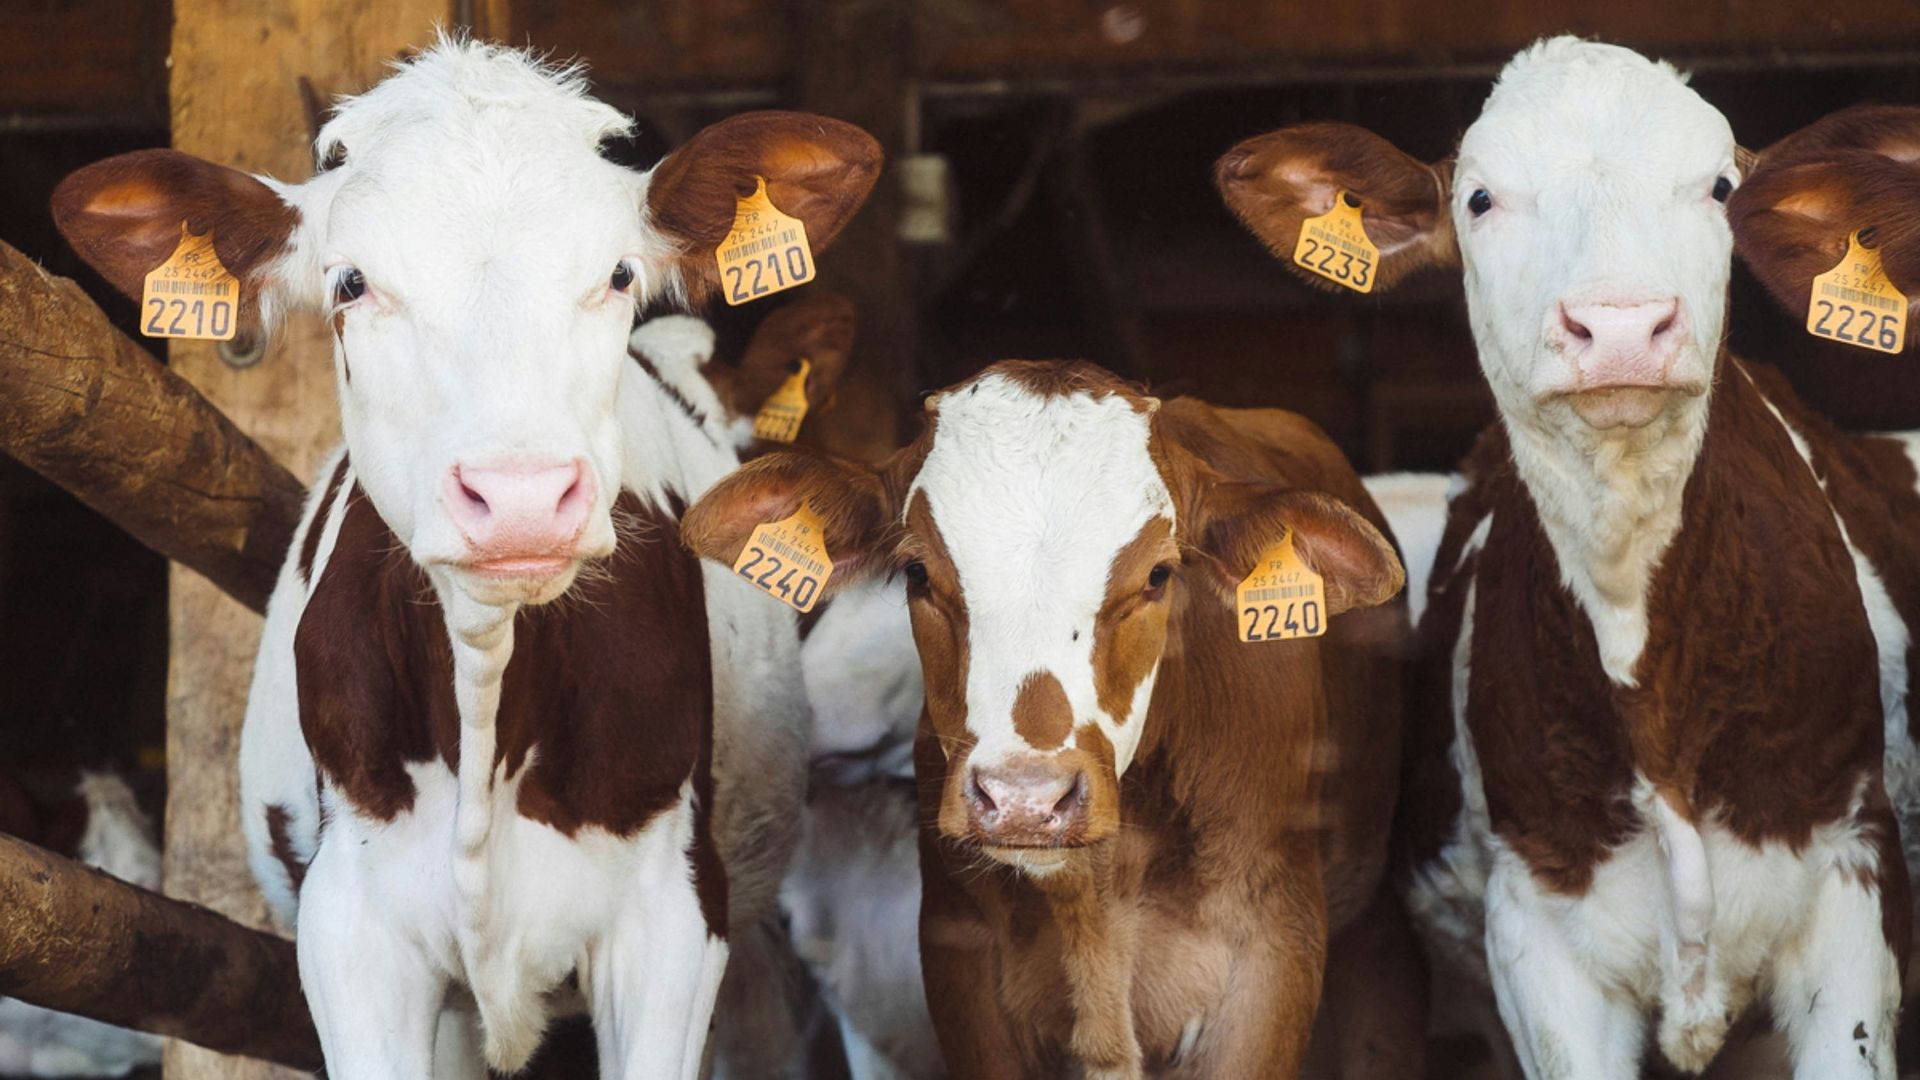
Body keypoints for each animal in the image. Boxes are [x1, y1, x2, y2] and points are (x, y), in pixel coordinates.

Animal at [681, 358, 1421, 1078]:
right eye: (916, 572)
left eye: (1158, 575)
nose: (1025, 800)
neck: (1094, 897)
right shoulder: (959, 965)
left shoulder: (1271, 963)